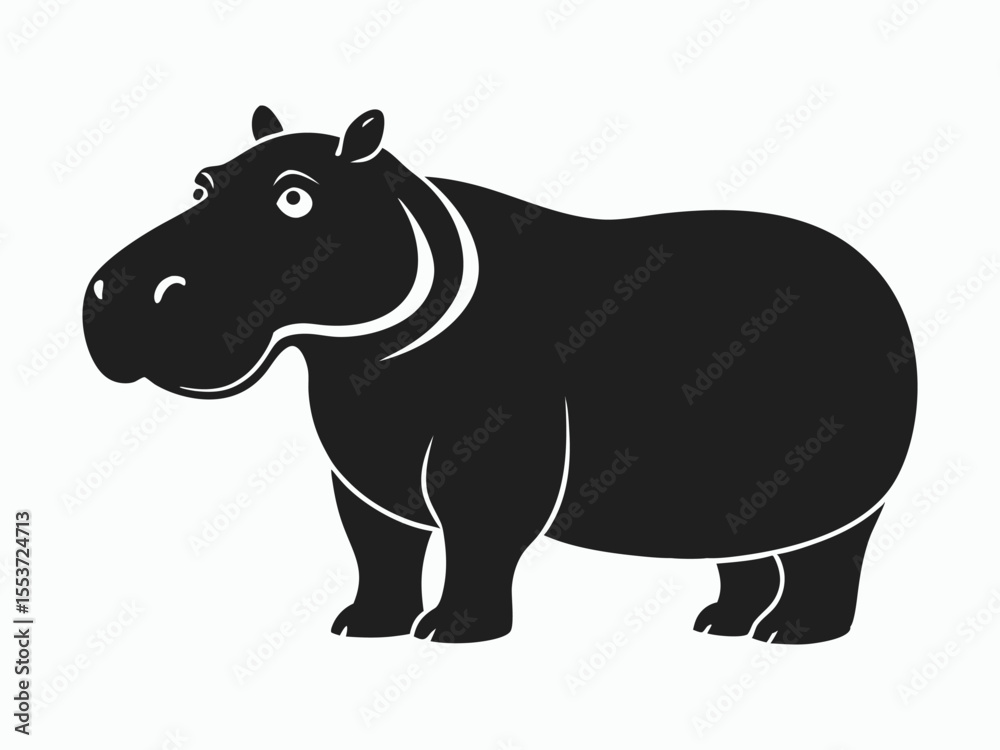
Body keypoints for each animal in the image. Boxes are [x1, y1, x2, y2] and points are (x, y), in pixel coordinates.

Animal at [84, 107, 917, 645]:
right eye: (201, 182)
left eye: (296, 194)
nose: (119, 291)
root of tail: (877, 279)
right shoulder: (364, 466)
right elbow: (378, 549)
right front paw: (363, 629)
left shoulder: (493, 453)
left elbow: (479, 541)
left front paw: (451, 635)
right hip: (734, 498)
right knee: (745, 558)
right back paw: (721, 626)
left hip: (844, 492)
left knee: (829, 559)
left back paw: (794, 635)